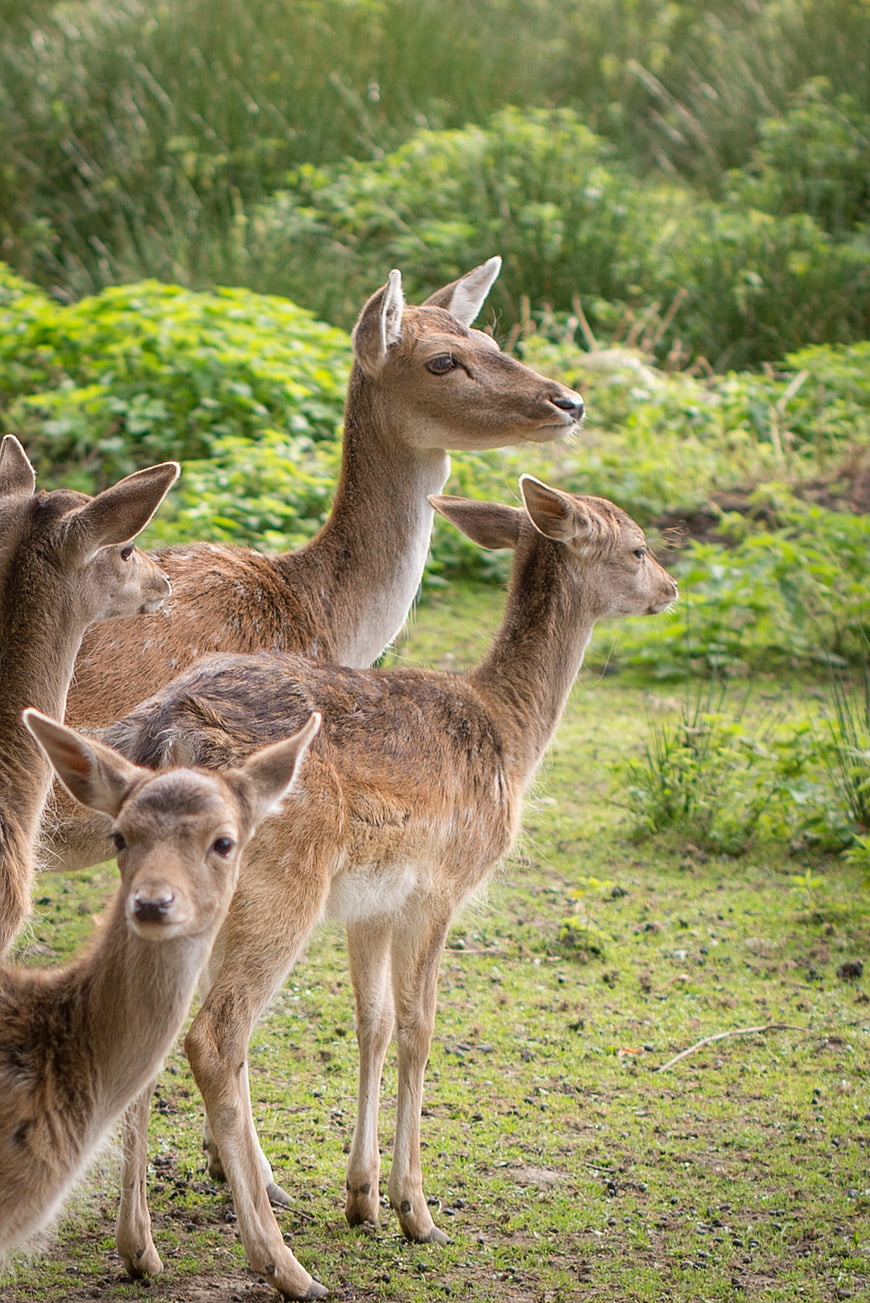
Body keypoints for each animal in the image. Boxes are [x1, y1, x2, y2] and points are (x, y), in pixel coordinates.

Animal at [45, 475, 678, 1299]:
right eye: (637, 546)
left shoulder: (369, 905)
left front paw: (362, 1198)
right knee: (215, 1036)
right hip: (282, 885)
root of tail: (165, 735)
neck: (509, 735)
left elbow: (371, 1024)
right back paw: (282, 1264)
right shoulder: (437, 890)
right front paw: (416, 1210)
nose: (669, 587)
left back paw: (139, 1249)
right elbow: (418, 1029)